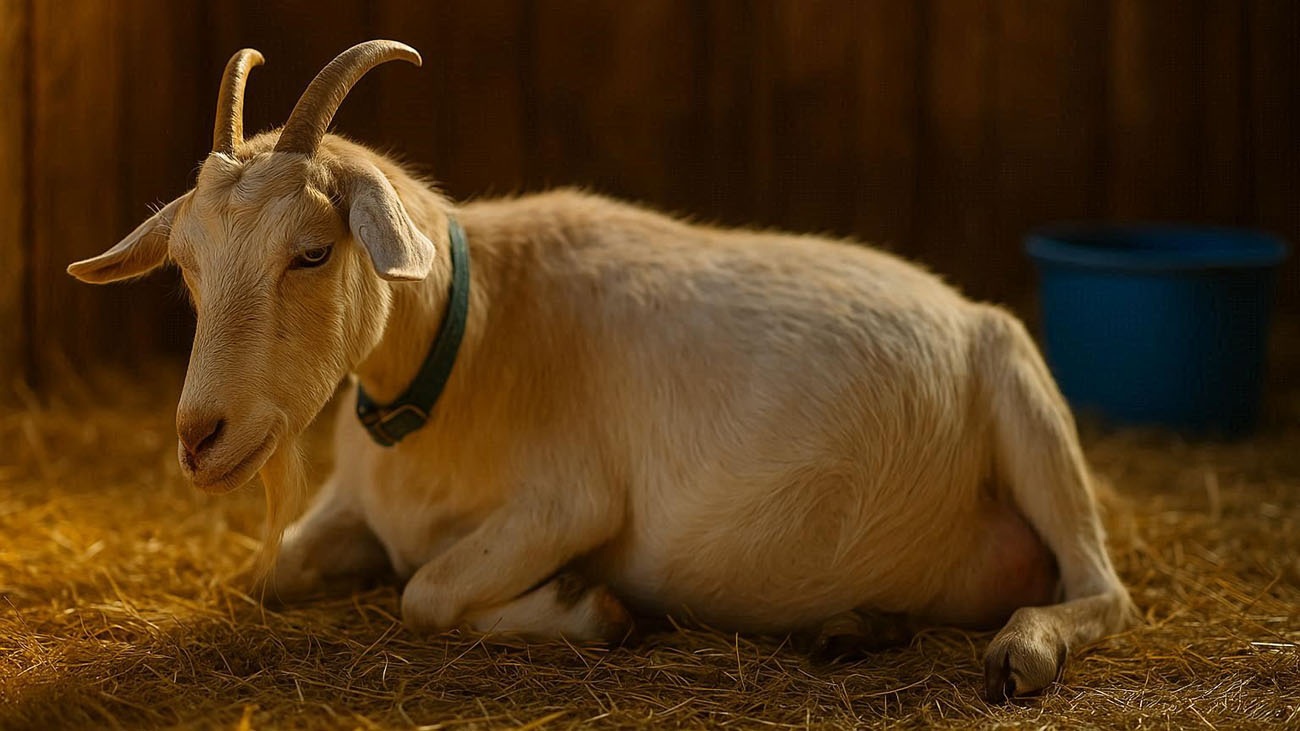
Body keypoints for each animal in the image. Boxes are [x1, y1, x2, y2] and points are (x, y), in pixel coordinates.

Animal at [68, 40, 1135, 703]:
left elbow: (428, 594)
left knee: (1102, 587)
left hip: (1029, 402)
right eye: (187, 265)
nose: (200, 436)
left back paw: (1020, 651)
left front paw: (597, 606)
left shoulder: (570, 503)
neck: (475, 346)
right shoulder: (352, 507)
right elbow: (273, 572)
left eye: (313, 252)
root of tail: (966, 311)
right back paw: (853, 625)